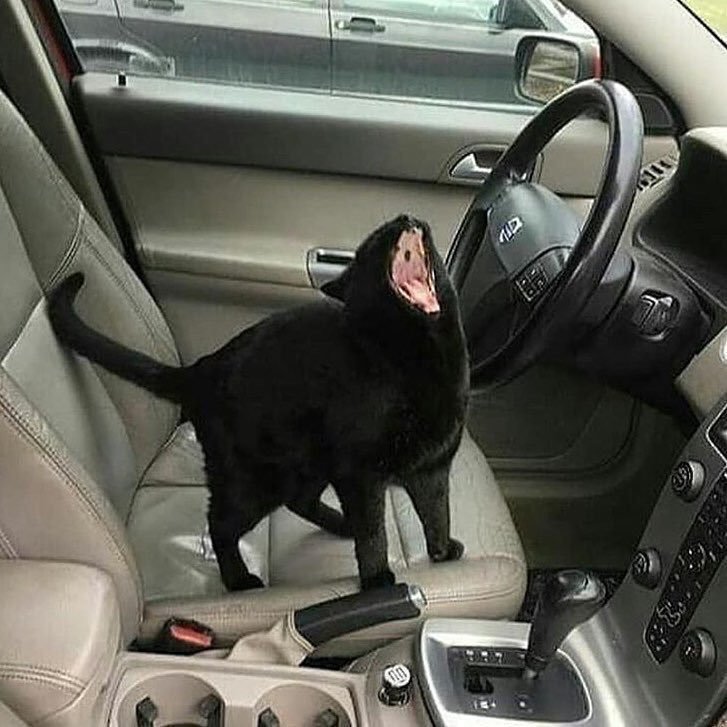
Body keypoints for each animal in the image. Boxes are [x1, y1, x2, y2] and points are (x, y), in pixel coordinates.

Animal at [48, 215, 469, 591]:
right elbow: (373, 533)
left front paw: (442, 550)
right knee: (220, 525)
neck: (419, 359)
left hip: (306, 465)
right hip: (255, 482)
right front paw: (378, 580)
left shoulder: (432, 467)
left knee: (299, 501)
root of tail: (201, 369)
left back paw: (339, 524)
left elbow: (438, 513)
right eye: (377, 240)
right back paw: (239, 581)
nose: (404, 217)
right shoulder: (360, 473)